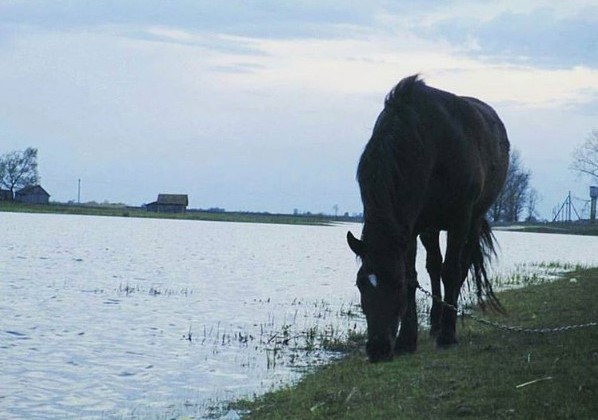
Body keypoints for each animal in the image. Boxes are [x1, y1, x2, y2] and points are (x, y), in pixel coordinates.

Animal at [346, 74, 510, 360]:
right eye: (360, 284)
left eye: (396, 284)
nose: (378, 349)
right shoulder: (411, 227)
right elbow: (416, 275)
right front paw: (407, 340)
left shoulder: (459, 218)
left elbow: (451, 272)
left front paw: (448, 335)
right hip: (430, 227)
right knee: (434, 266)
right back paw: (434, 323)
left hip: (472, 221)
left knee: (459, 266)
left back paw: (445, 323)